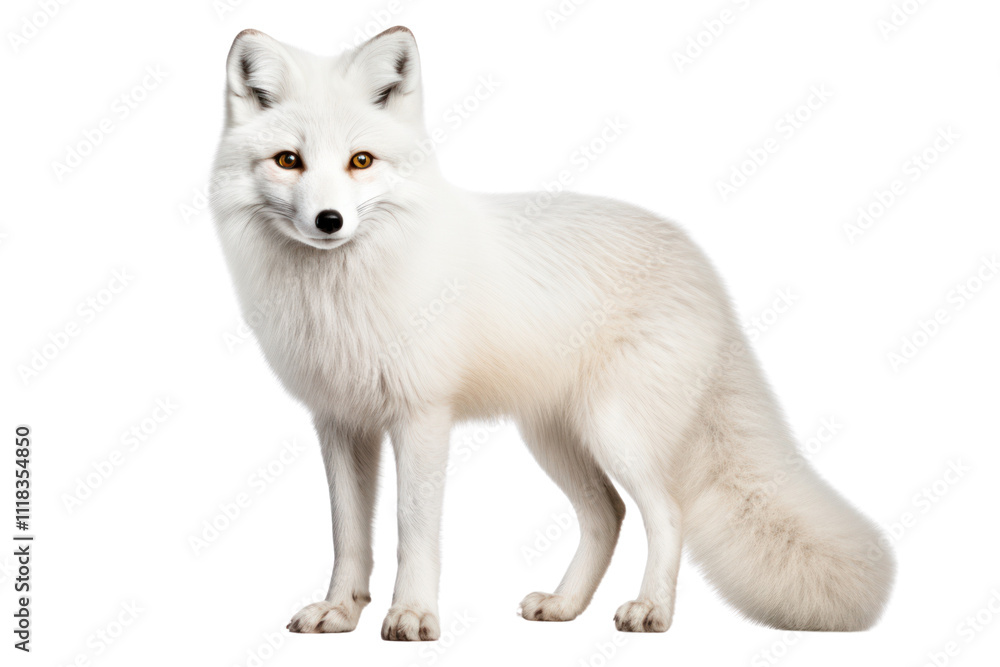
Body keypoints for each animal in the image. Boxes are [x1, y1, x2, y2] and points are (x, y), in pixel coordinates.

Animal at [210, 26, 895, 641]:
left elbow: (413, 530)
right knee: (608, 514)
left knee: (666, 513)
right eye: (289, 161)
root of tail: (701, 266)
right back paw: (565, 607)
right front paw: (340, 612)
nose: (329, 220)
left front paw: (413, 616)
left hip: (615, 431)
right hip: (553, 437)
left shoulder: (421, 416)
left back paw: (652, 611)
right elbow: (348, 536)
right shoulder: (340, 422)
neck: (340, 296)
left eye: (361, 162)